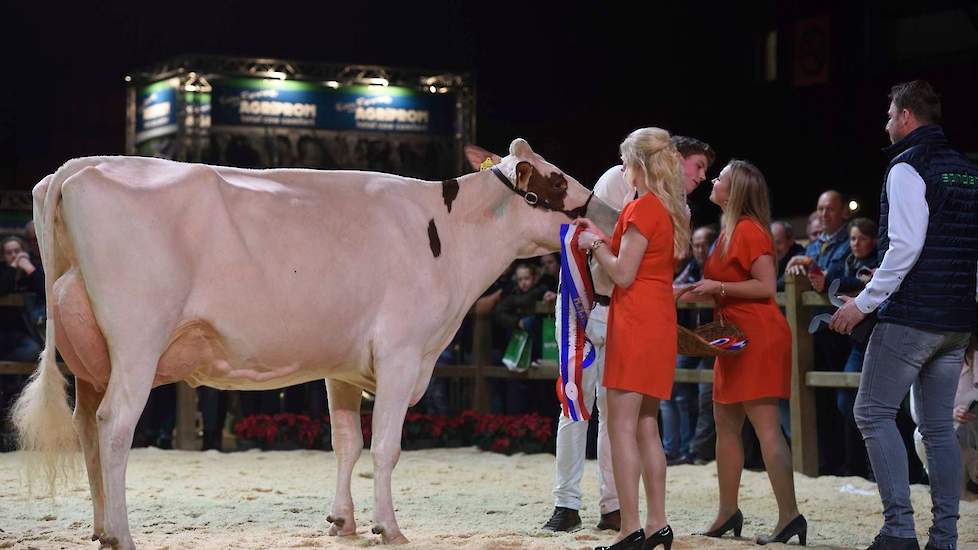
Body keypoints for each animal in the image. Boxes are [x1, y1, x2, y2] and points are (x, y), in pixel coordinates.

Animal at [11, 139, 612, 550]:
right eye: (556, 180)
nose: (603, 214)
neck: (448, 234)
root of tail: (80, 166)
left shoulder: (342, 365)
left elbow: (346, 444)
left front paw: (343, 521)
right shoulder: (401, 354)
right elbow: (386, 447)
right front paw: (389, 526)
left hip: (90, 355)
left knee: (87, 429)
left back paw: (100, 529)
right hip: (137, 340)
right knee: (114, 426)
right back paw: (123, 534)